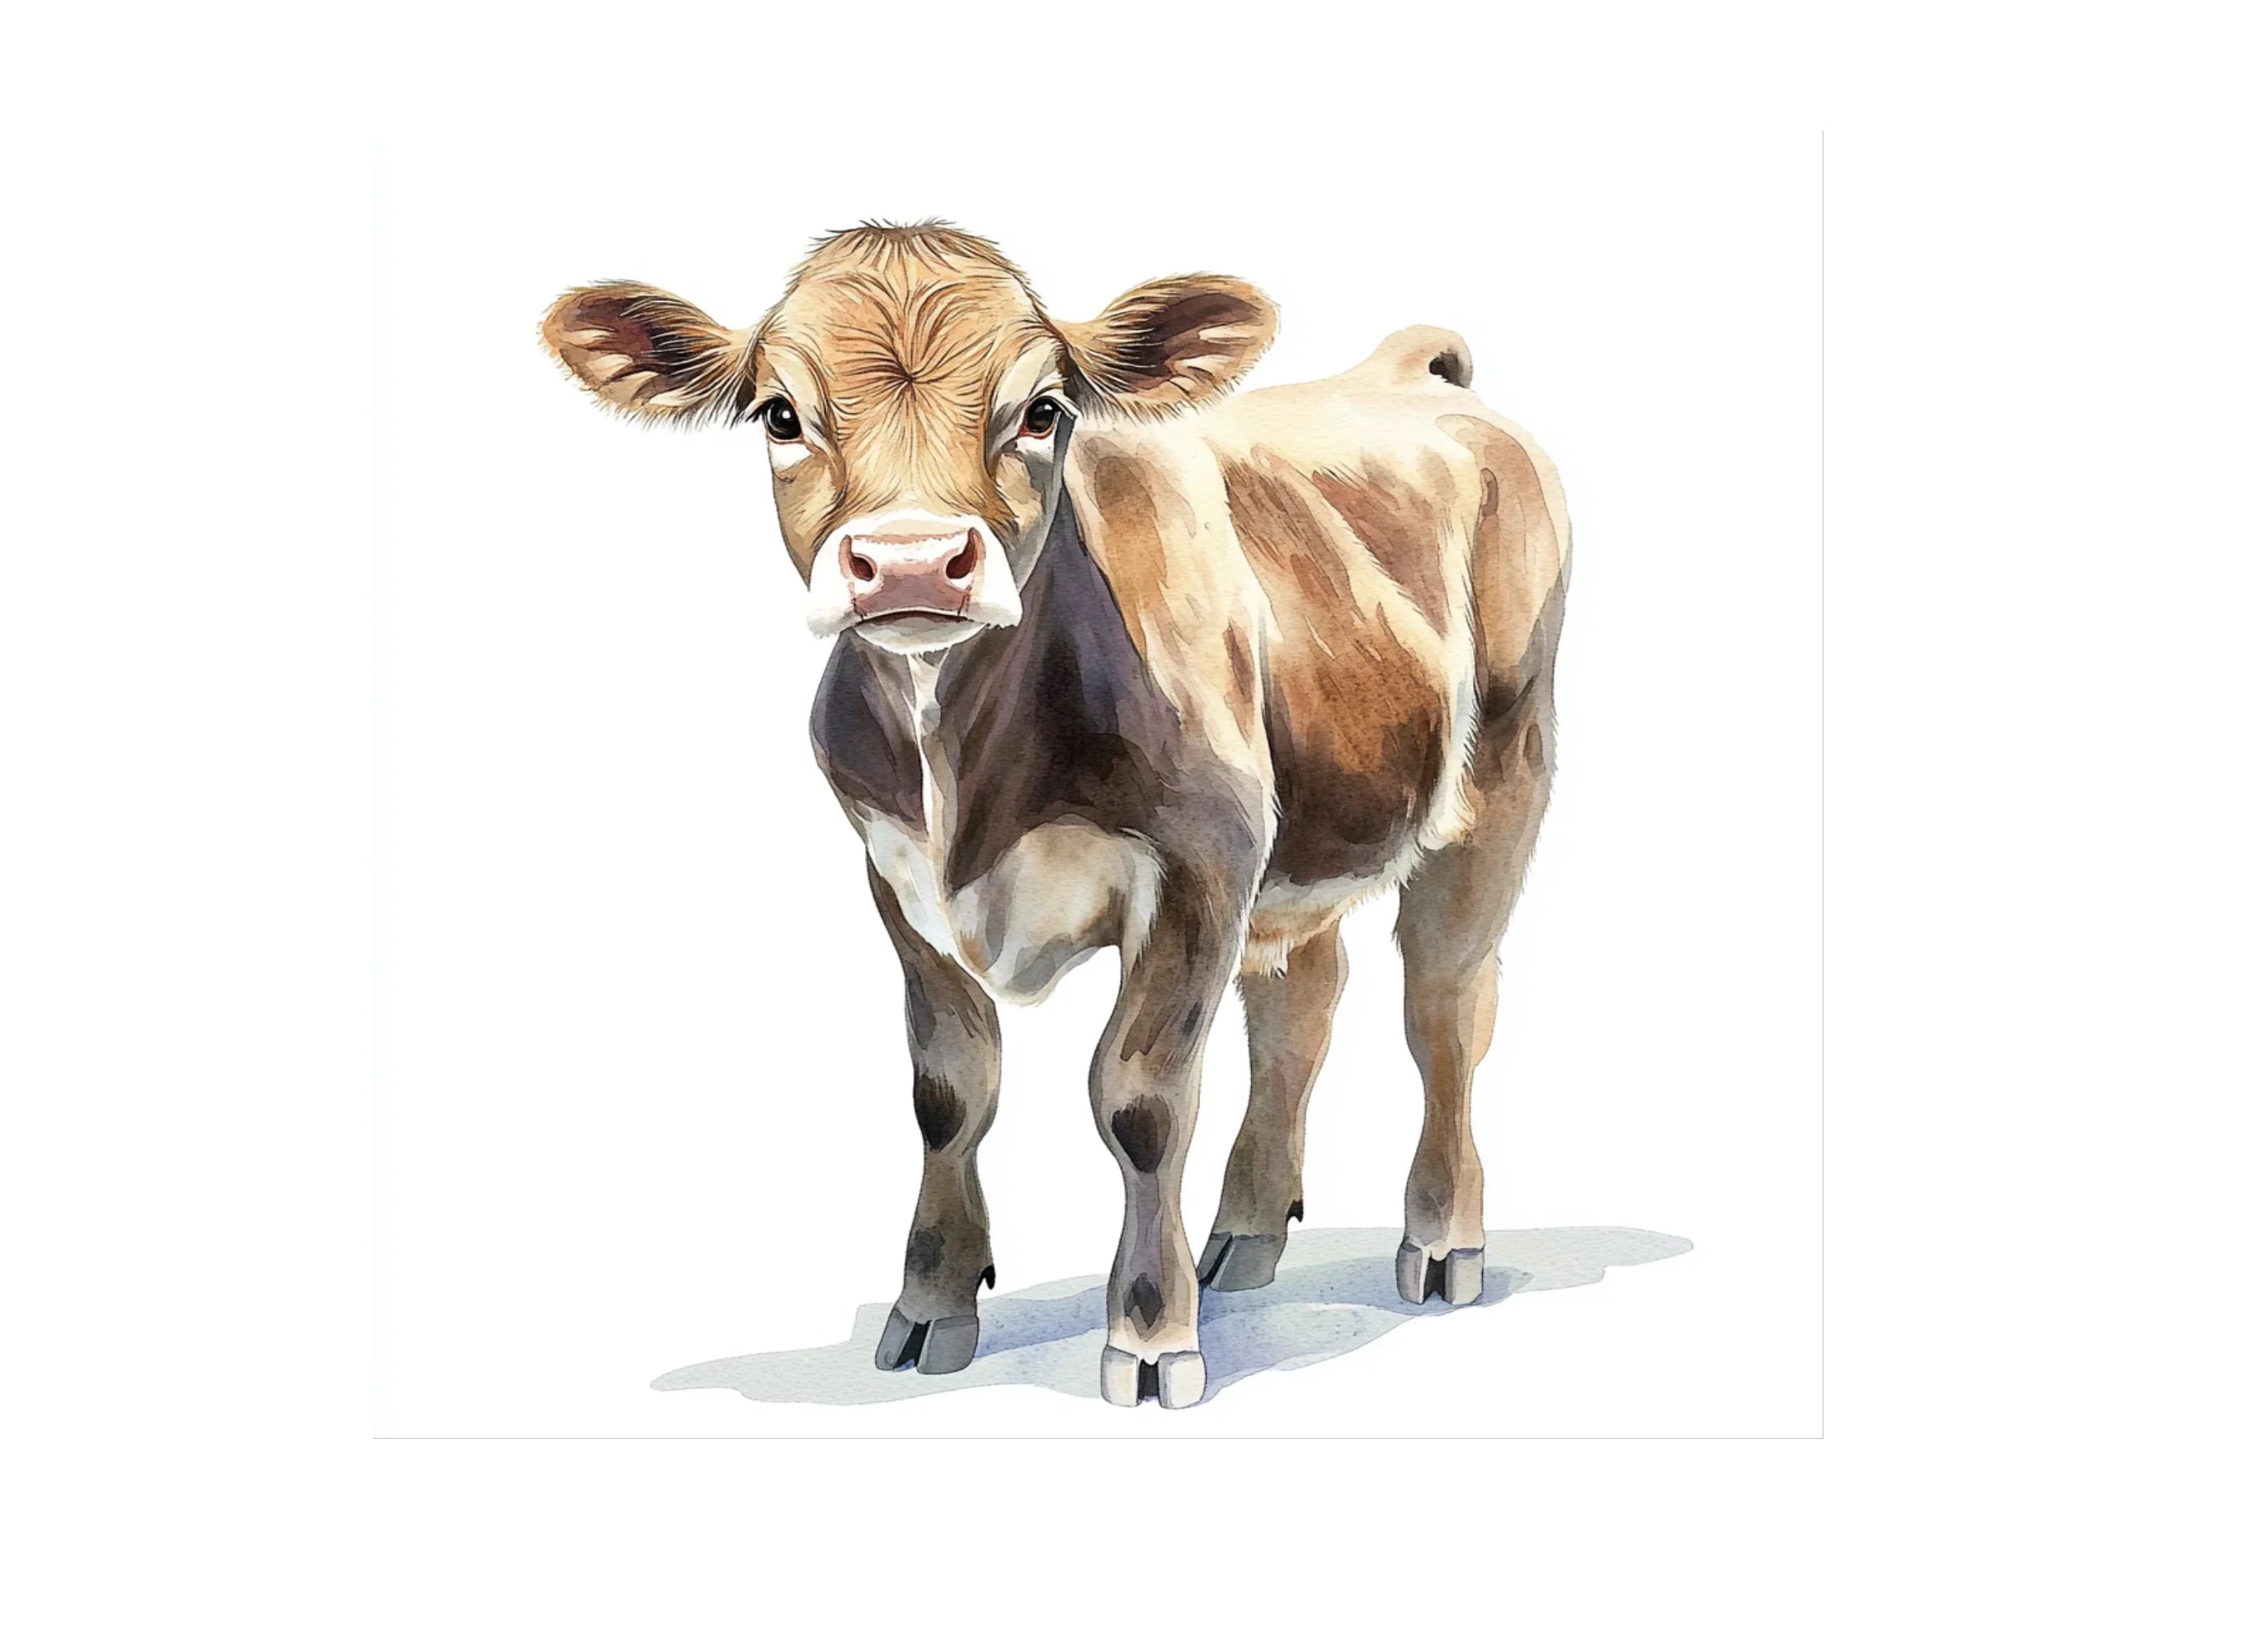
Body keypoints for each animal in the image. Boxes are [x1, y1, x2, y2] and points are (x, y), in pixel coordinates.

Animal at [542, 222, 1569, 1408]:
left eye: (1041, 409)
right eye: (779, 414)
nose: (909, 562)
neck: (966, 769)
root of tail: (1406, 370)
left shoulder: (1203, 866)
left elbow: (1141, 1102)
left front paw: (1151, 1333)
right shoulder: (895, 875)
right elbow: (948, 1089)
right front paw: (930, 1304)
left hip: (1503, 777)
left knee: (1443, 1006)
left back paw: (1440, 1240)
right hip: (1306, 832)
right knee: (1301, 1004)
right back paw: (1245, 1236)